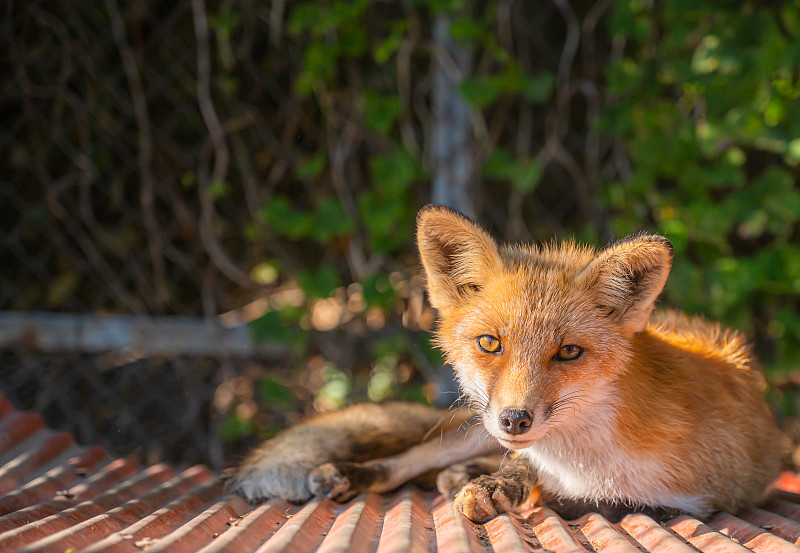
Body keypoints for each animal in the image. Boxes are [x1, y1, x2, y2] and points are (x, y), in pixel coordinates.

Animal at [227, 204, 780, 520]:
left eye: (569, 351)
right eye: (490, 343)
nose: (516, 419)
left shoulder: (714, 497)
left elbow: (580, 492)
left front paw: (523, 489)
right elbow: (522, 469)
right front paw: (501, 486)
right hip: (472, 428)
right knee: (412, 459)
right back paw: (359, 473)